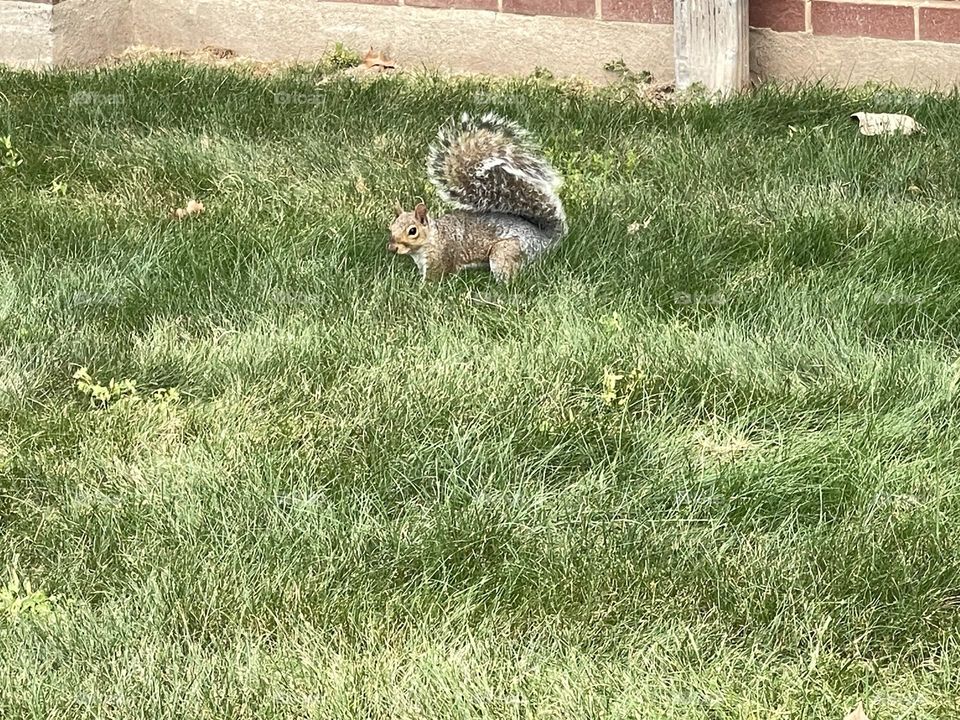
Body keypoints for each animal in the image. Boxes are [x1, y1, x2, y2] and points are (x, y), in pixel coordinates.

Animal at [387, 112, 567, 282]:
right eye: (391, 226)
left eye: (413, 231)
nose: (392, 248)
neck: (432, 237)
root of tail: (547, 240)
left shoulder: (440, 259)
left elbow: (434, 279)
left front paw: (419, 287)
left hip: (505, 252)